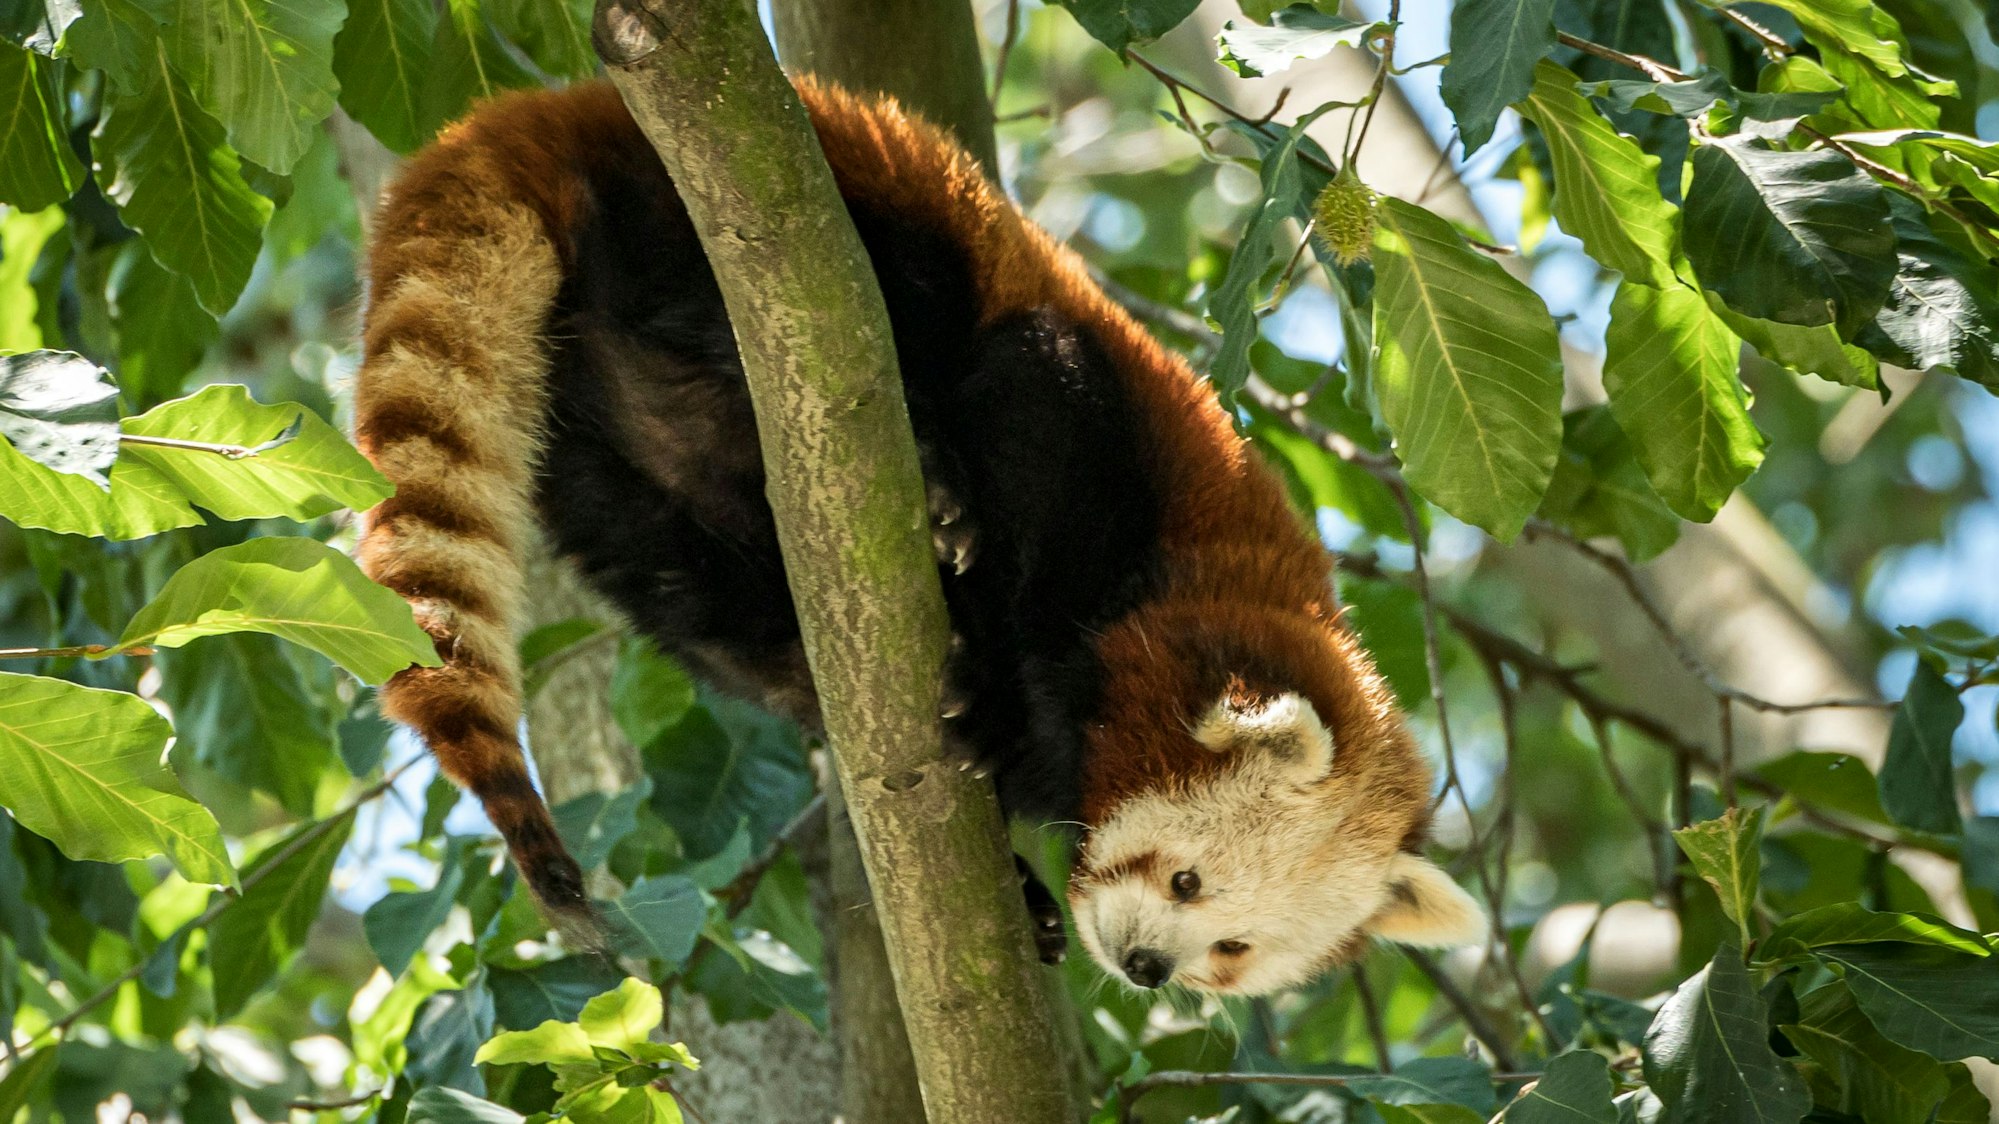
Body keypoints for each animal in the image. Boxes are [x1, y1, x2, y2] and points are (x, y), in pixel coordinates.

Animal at [352, 76, 1485, 996]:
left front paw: (1024, 882)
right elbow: (1036, 420)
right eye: (1187, 878)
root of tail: (556, 108)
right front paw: (993, 692)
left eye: (1231, 949)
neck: (1203, 595)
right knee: (855, 299)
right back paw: (925, 475)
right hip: (776, 207)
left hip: (596, 453)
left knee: (697, 592)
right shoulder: (1106, 454)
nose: (1146, 967)